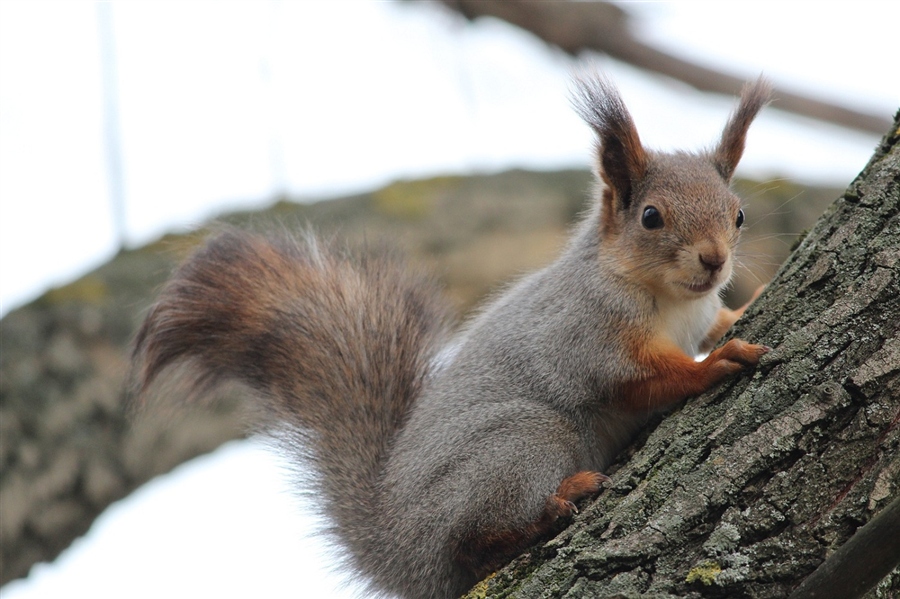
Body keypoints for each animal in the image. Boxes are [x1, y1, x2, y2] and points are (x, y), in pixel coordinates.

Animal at [132, 75, 772, 599]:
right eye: (651, 217)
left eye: (738, 214)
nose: (715, 260)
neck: (670, 300)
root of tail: (397, 542)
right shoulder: (584, 335)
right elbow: (644, 377)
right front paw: (716, 363)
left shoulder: (695, 312)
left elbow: (715, 321)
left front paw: (744, 308)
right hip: (523, 443)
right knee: (472, 545)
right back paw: (551, 508)